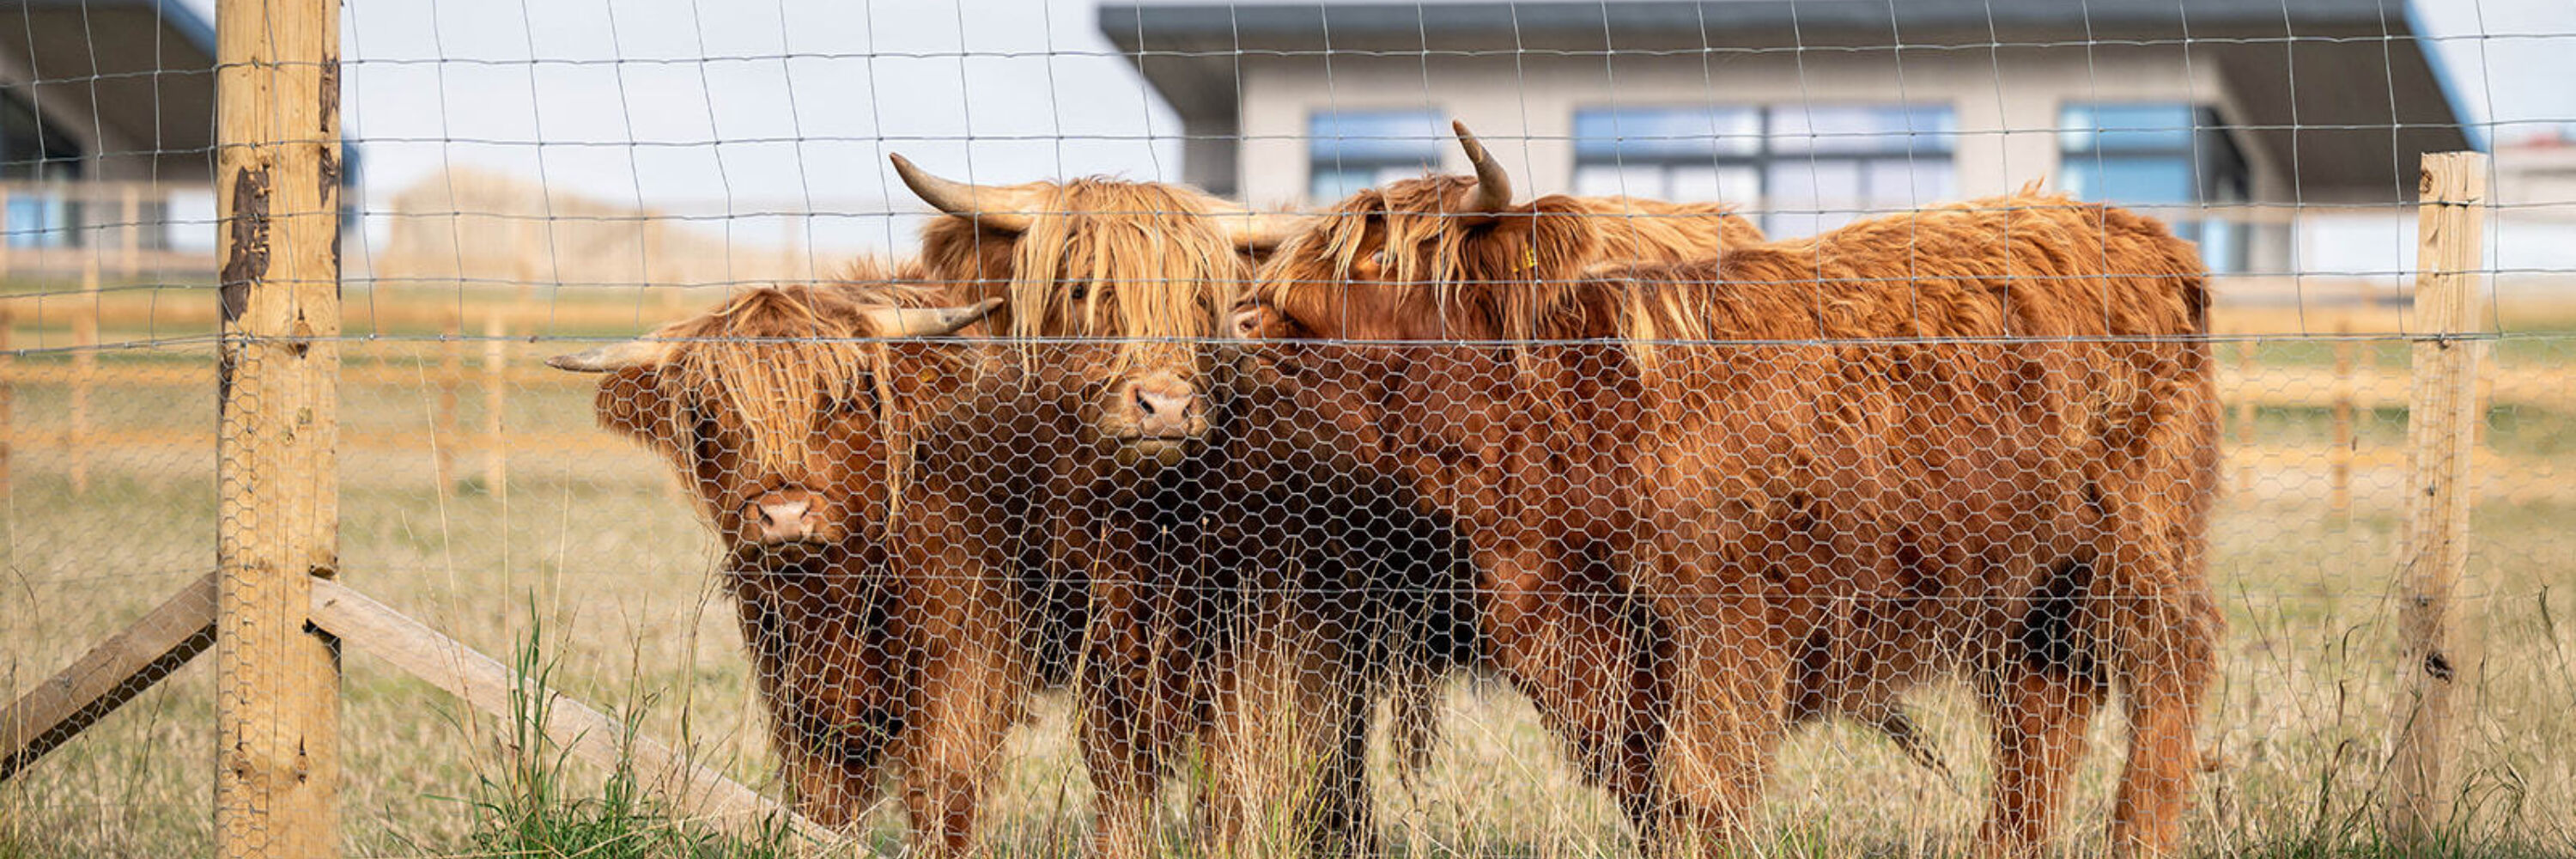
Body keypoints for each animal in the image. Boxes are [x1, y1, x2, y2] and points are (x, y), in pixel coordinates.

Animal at [544, 269, 1036, 856]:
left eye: (842, 402)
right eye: (709, 414)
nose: (783, 516)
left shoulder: (965, 659)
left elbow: (945, 790)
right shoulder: (792, 675)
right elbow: (820, 798)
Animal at [894, 157, 1475, 859]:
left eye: (1201, 301)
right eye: (1083, 289)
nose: (1167, 408)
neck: (1141, 520)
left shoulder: (1278, 633)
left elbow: (1241, 780)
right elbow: (1093, 776)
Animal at [1237, 122, 2221, 859]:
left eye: (1375, 263)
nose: (1245, 315)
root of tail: (2145, 234)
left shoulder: (1725, 628)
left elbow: (1698, 786)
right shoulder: (1595, 649)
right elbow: (1645, 786)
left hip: (2140, 542)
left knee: (2169, 673)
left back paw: (2139, 836)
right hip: (2035, 579)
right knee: (2043, 709)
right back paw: (2004, 845)